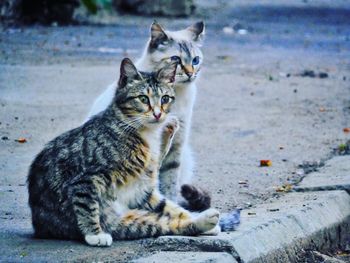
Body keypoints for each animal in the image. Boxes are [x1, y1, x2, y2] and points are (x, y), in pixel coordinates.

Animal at [28, 58, 219, 248]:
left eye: (165, 98)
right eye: (143, 98)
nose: (158, 114)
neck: (145, 134)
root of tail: (39, 226)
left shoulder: (143, 189)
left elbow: (171, 207)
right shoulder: (87, 179)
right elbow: (86, 204)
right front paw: (94, 234)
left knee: (168, 221)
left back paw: (205, 221)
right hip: (121, 222)